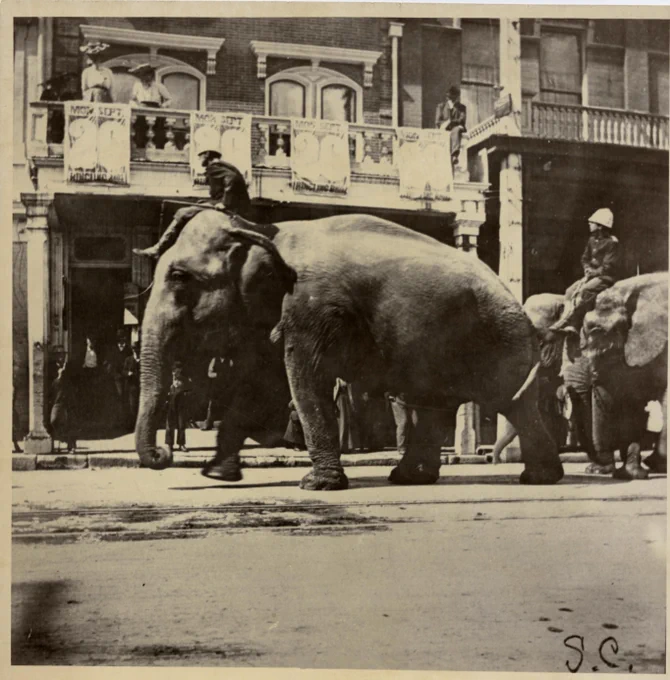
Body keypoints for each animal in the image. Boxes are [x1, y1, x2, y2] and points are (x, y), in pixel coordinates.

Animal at [135, 208, 563, 490]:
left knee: (511, 403)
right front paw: (217, 474)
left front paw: (316, 485)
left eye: (180, 277)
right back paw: (409, 478)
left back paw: (538, 479)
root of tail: (516, 300)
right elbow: (261, 383)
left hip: (499, 343)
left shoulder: (313, 306)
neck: (262, 229)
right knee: (436, 407)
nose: (164, 456)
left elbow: (304, 382)